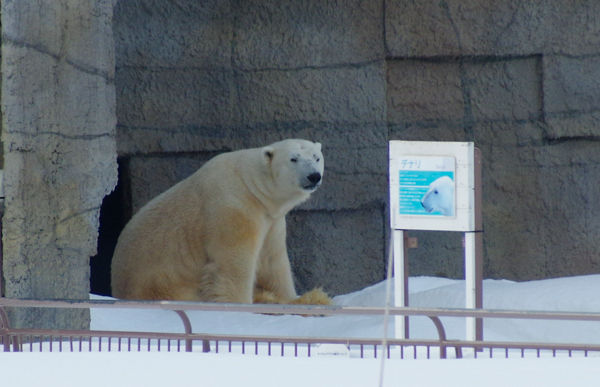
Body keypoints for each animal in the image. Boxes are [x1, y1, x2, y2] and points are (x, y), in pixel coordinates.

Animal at [110, 139, 330, 306]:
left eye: (316, 157)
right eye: (293, 158)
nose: (313, 176)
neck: (252, 186)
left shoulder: (271, 220)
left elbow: (273, 261)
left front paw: (292, 298)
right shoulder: (232, 209)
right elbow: (232, 265)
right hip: (164, 285)